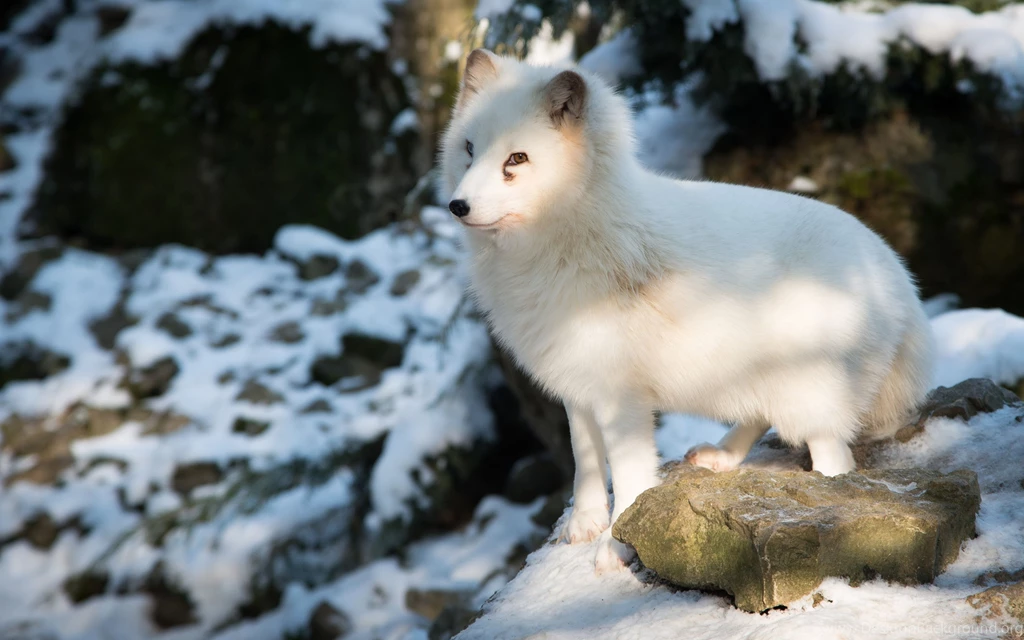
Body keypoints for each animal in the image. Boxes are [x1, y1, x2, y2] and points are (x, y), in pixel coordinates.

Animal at [439, 49, 934, 573]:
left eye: (516, 159)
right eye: (469, 148)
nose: (457, 205)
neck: (571, 237)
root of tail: (898, 277)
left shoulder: (622, 399)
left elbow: (629, 476)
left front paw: (616, 546)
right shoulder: (577, 384)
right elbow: (585, 459)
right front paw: (584, 525)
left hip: (812, 394)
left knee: (835, 459)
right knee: (760, 416)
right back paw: (721, 457)